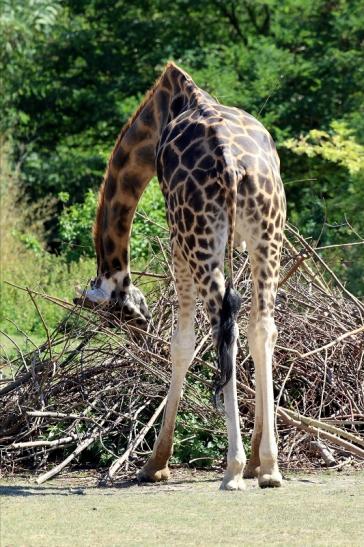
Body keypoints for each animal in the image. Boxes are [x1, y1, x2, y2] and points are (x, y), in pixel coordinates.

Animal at [77, 62, 286, 490]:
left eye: (118, 315)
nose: (141, 335)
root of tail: (235, 166)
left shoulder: (176, 241)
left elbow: (183, 343)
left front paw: (155, 463)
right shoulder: (243, 242)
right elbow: (254, 330)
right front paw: (259, 463)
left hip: (196, 235)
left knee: (224, 326)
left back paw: (233, 469)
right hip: (268, 233)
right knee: (262, 327)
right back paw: (270, 468)